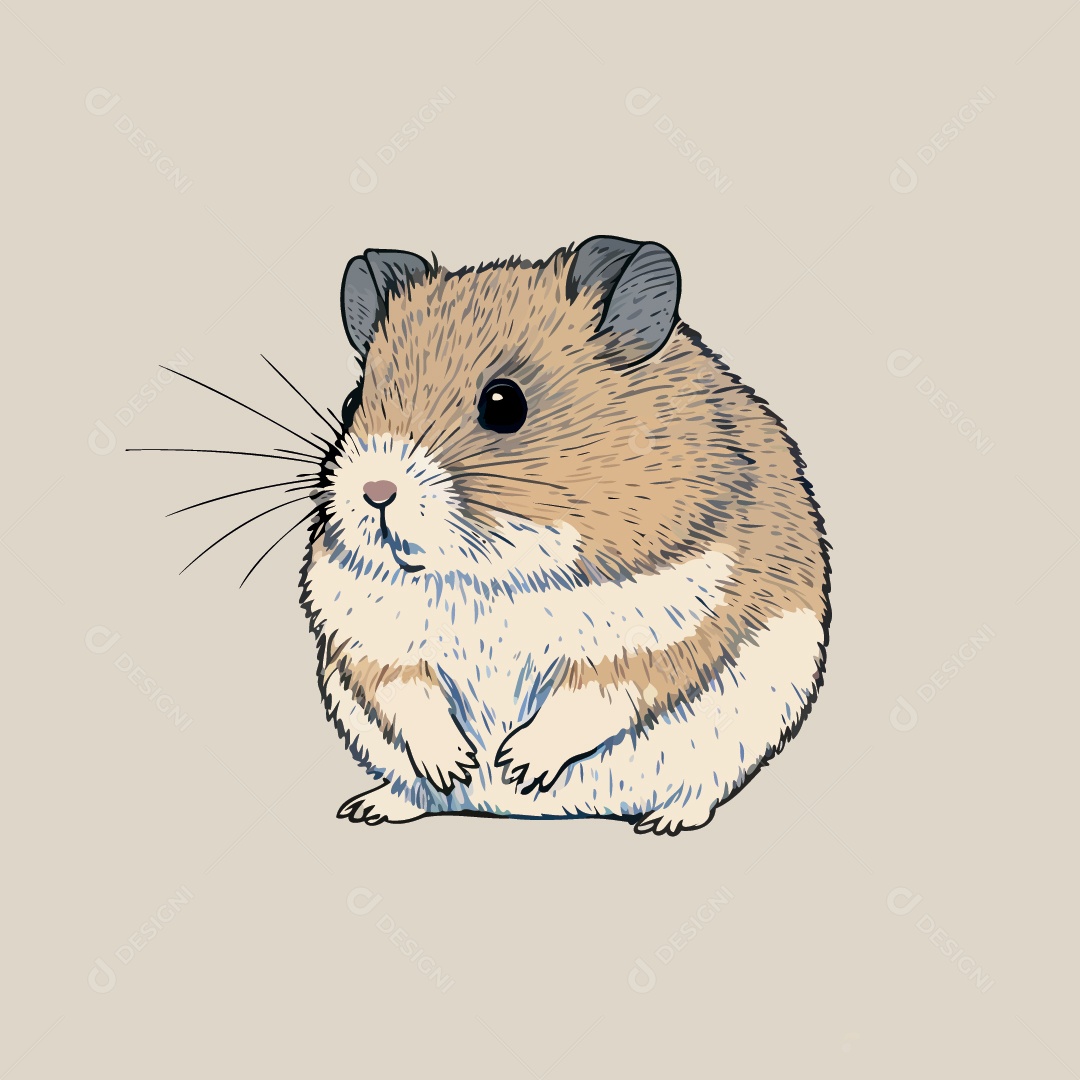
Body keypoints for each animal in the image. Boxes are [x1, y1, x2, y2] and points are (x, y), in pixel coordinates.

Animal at [299, 236, 831, 835]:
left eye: (504, 403)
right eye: (352, 403)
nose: (376, 491)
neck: (492, 573)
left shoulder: (659, 633)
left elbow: (595, 696)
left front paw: (516, 763)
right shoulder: (367, 635)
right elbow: (406, 692)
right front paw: (461, 763)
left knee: (700, 789)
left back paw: (656, 820)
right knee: (417, 790)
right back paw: (373, 807)